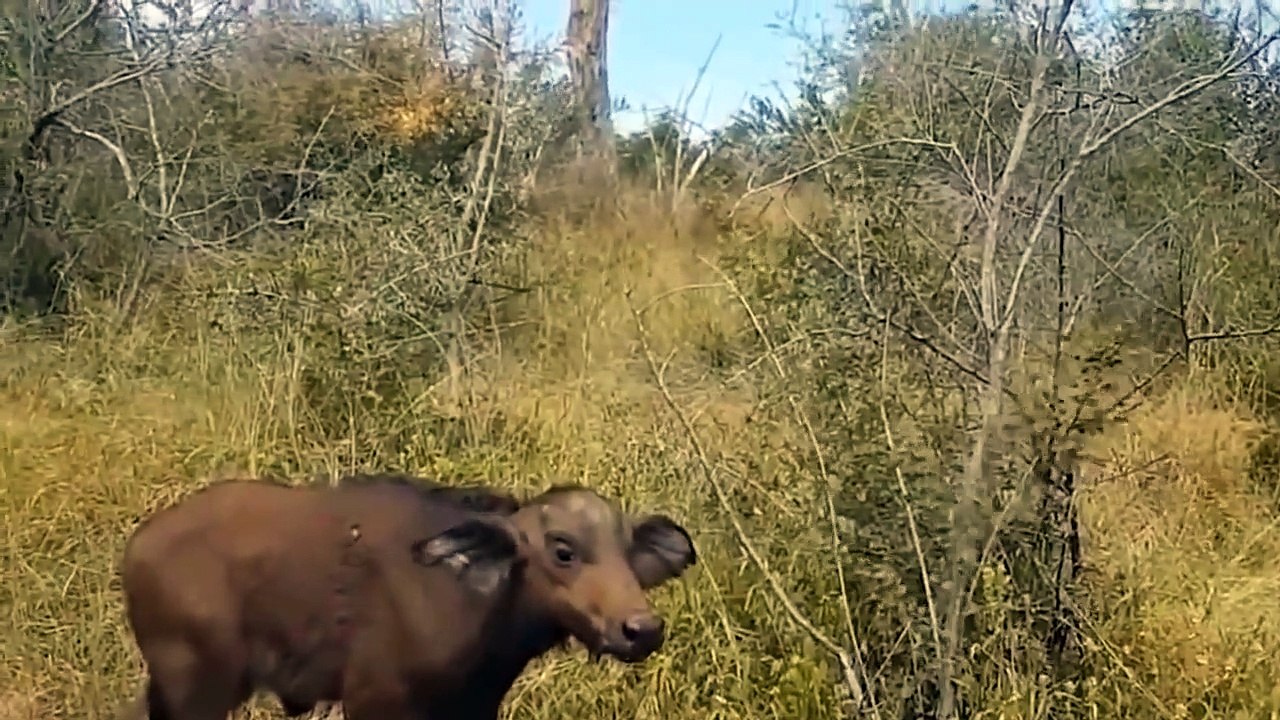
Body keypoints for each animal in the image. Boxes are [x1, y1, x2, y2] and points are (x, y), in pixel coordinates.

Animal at [119, 473, 697, 720]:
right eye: (563, 550)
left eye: (627, 549)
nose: (641, 629)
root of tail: (139, 547)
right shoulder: (375, 704)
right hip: (199, 692)